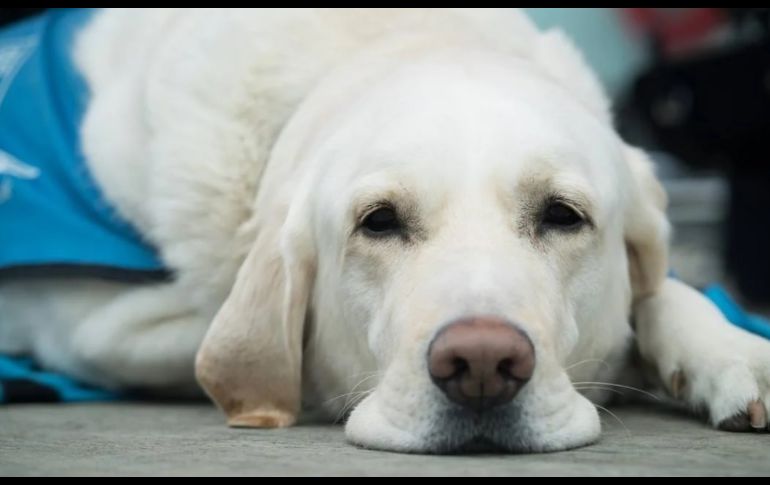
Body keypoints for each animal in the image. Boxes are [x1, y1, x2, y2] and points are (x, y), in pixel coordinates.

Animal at [1, 8, 768, 454]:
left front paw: (732, 350)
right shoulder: (96, 325)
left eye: (561, 215)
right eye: (379, 222)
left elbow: (665, 292)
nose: (481, 364)